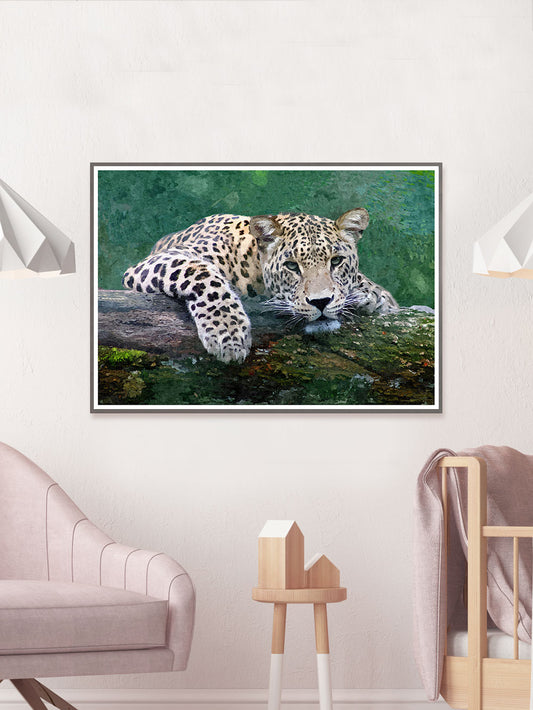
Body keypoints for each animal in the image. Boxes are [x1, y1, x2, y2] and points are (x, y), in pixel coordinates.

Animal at [122, 208, 398, 363]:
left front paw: (372, 295)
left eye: (337, 261)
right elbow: (203, 275)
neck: (252, 264)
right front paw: (228, 334)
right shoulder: (160, 260)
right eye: (291, 266)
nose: (320, 302)